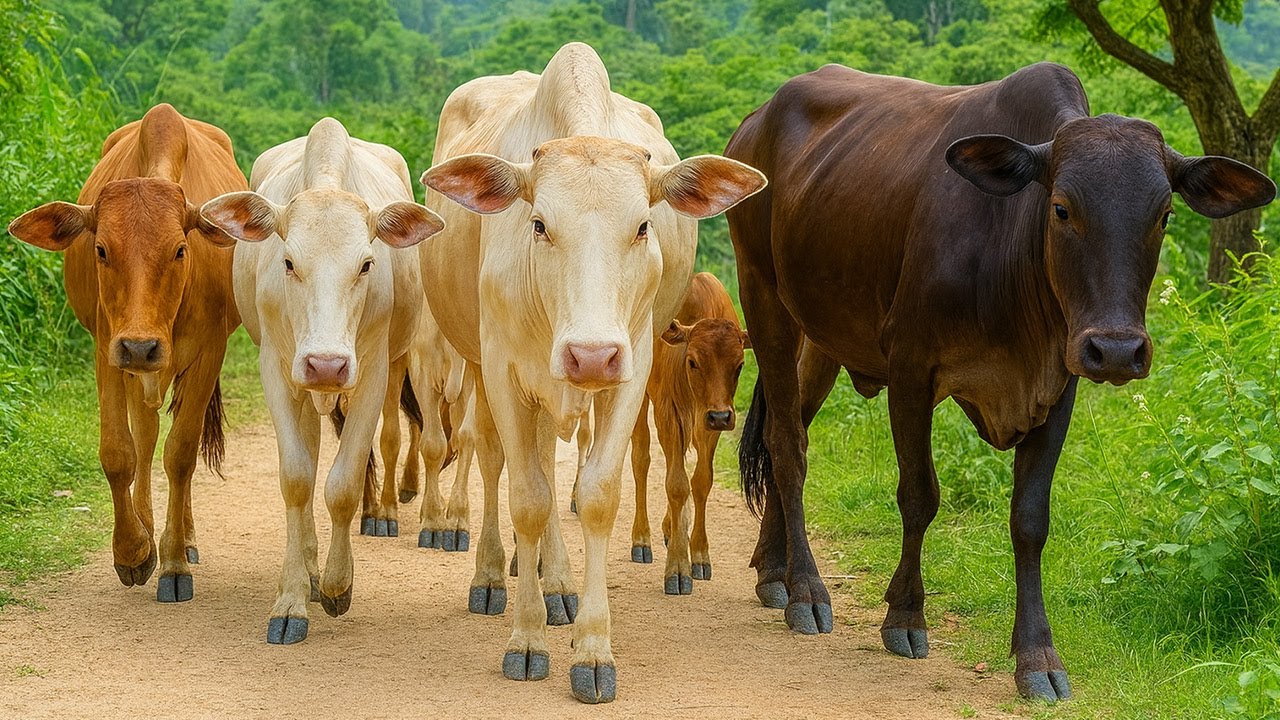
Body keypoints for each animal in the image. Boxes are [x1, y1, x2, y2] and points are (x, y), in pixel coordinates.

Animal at [8, 104, 245, 603]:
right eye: (100, 249)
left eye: (180, 249)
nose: (141, 344)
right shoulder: (108, 349)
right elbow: (120, 452)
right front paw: (134, 551)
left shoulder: (209, 352)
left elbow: (181, 454)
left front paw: (173, 563)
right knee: (146, 435)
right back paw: (149, 529)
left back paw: (183, 539)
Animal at [199, 118, 444, 644]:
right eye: (289, 262)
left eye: (367, 264)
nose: (326, 364)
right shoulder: (277, 369)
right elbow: (297, 480)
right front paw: (293, 598)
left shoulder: (371, 373)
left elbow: (343, 485)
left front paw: (336, 585)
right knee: (308, 462)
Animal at [628, 271, 749, 593]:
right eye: (693, 361)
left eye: (740, 365)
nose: (720, 416)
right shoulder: (668, 413)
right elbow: (677, 484)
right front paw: (678, 568)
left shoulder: (709, 425)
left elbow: (700, 482)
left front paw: (699, 554)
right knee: (641, 459)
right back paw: (642, 539)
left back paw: (672, 528)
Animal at [724, 62, 1276, 702]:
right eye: (1061, 208)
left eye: (1164, 215)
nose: (1117, 350)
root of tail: (755, 121)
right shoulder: (910, 369)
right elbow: (919, 496)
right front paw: (905, 615)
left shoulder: (1059, 385)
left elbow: (1030, 519)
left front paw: (1038, 657)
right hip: (763, 297)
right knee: (787, 445)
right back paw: (807, 591)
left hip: (822, 337)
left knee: (788, 432)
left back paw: (774, 570)